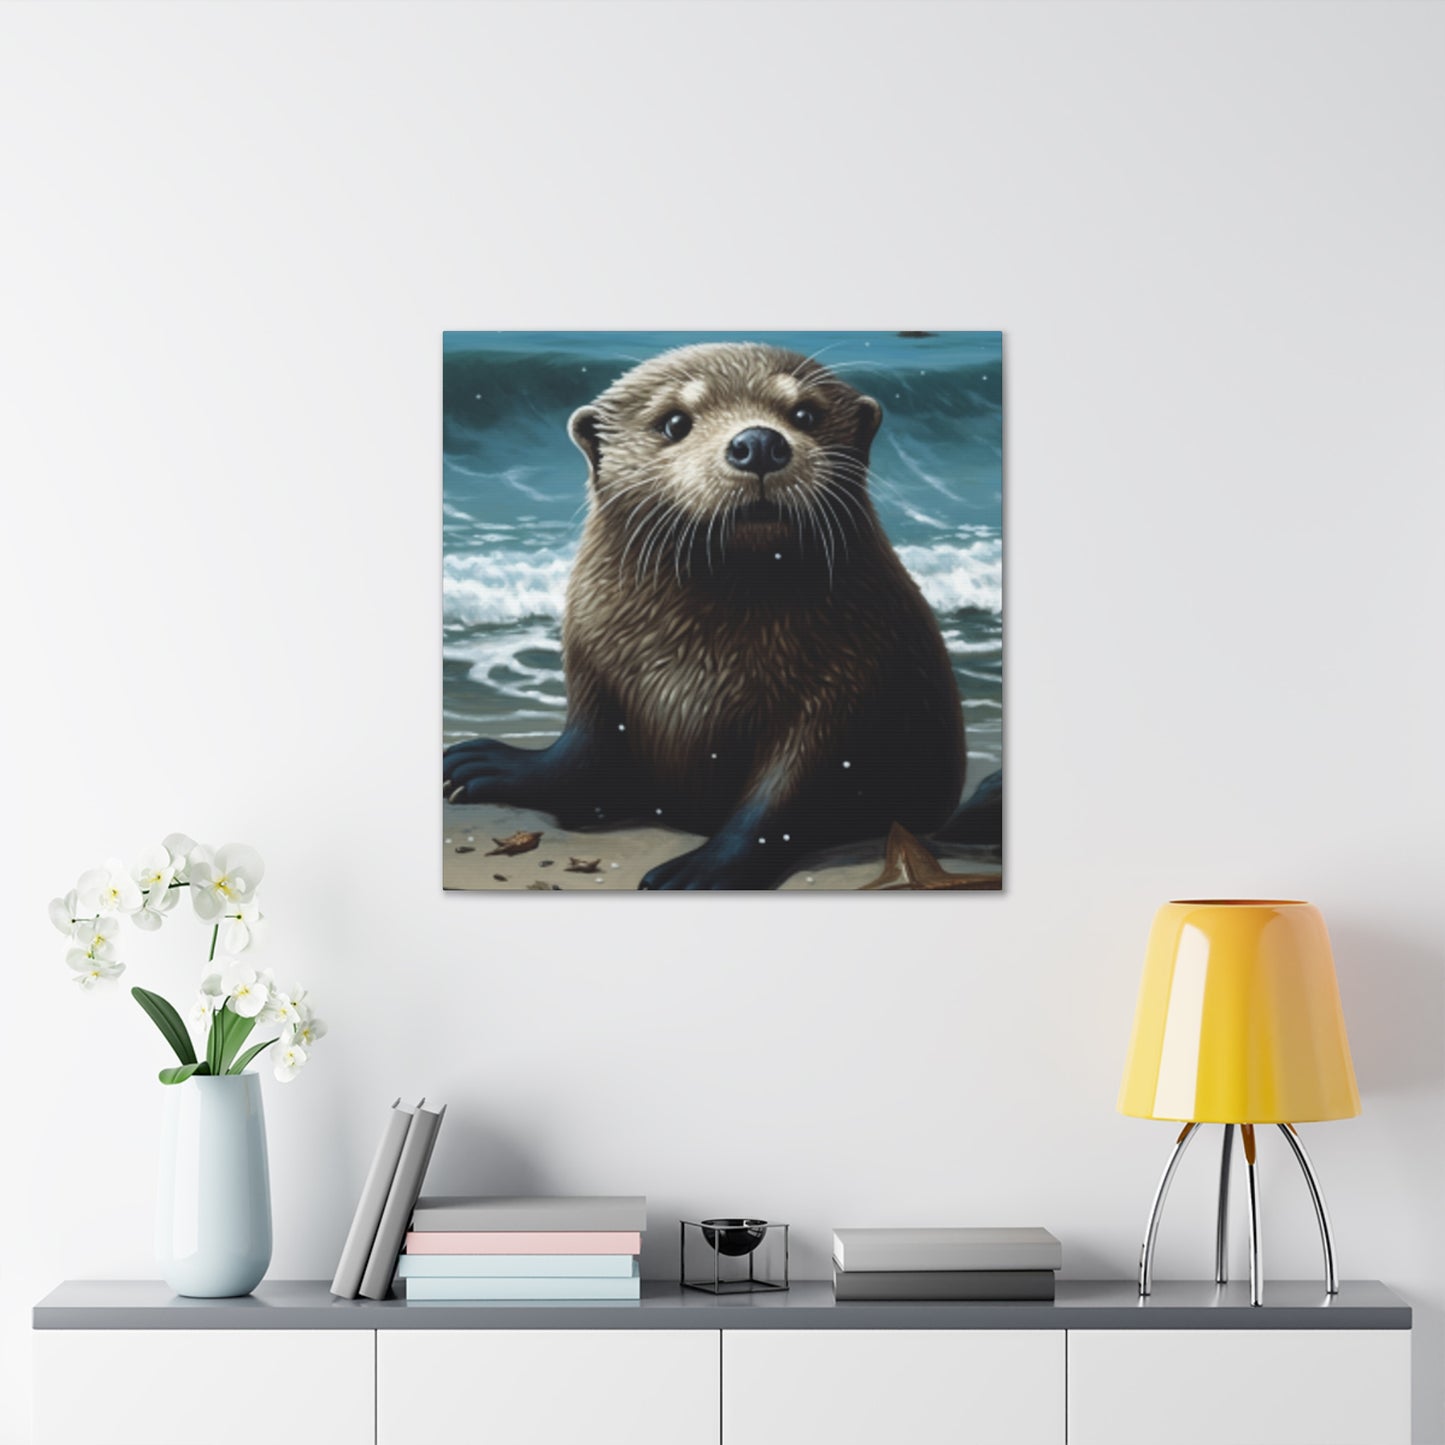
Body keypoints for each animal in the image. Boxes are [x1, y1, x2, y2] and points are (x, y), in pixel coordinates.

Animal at [443, 342, 966, 890]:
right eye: (675, 422)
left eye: (805, 413)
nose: (759, 442)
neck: (701, 665)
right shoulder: (596, 672)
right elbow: (580, 755)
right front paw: (487, 766)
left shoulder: (846, 690)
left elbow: (783, 800)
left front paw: (700, 870)